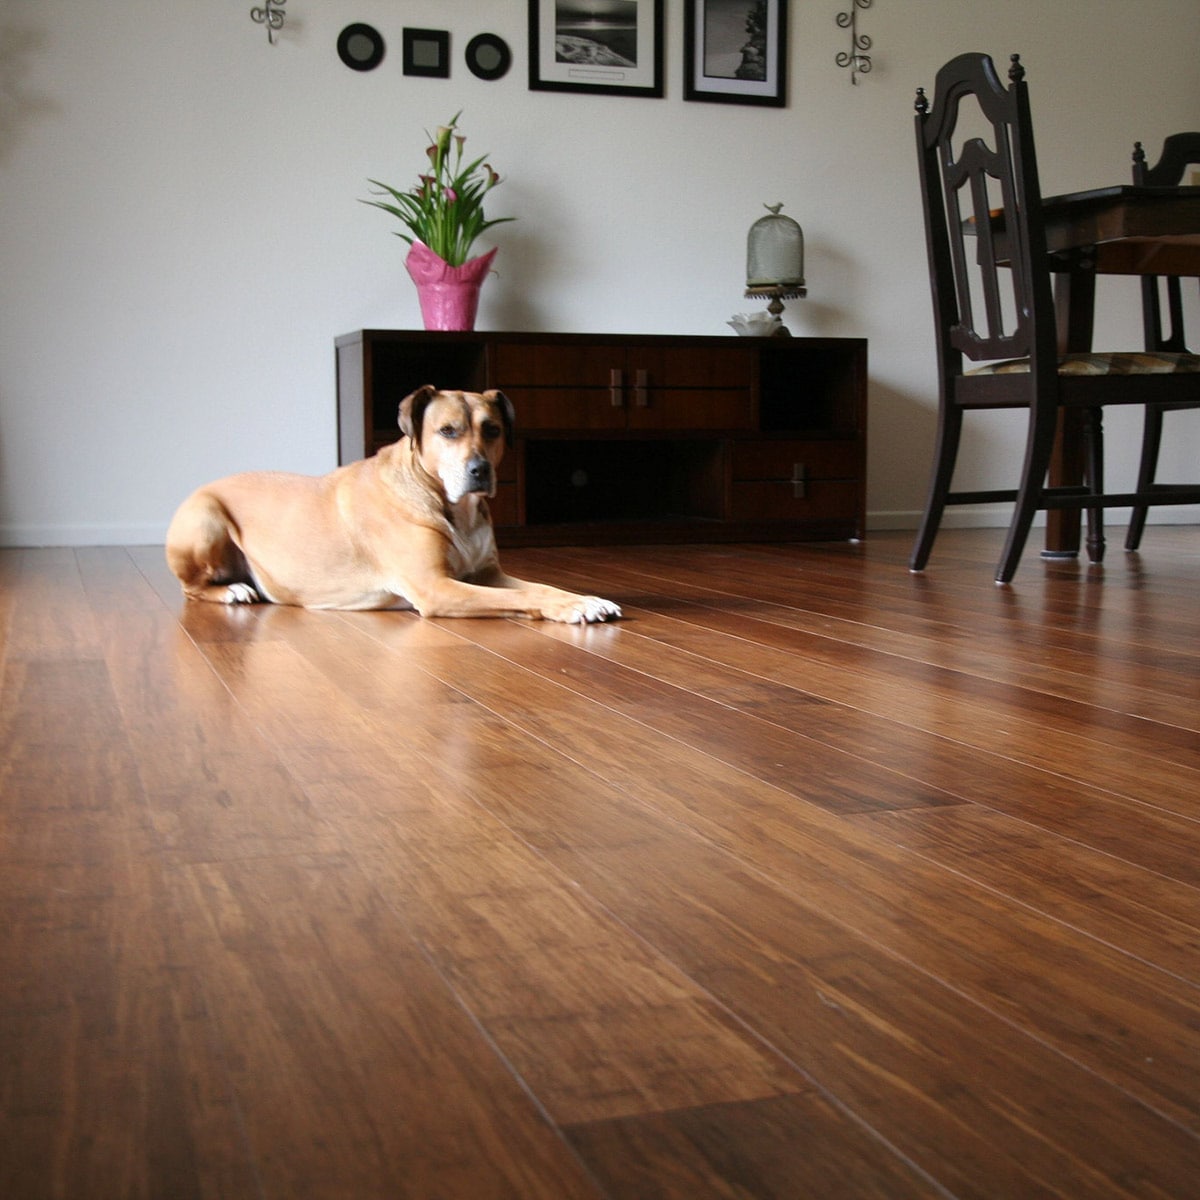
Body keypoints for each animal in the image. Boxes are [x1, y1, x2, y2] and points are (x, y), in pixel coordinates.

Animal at [165, 386, 624, 628]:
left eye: (492, 429)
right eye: (448, 431)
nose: (480, 471)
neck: (453, 507)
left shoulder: (487, 574)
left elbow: (543, 586)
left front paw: (583, 597)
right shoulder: (436, 587)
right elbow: (527, 597)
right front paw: (573, 608)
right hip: (206, 521)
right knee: (191, 588)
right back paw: (232, 591)